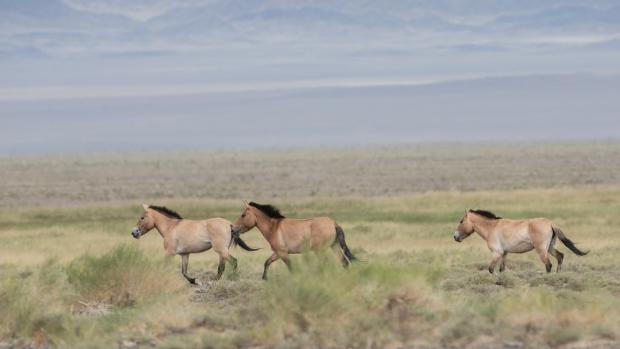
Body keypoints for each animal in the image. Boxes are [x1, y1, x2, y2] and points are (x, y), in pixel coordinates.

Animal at [130, 204, 258, 282]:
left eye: (142, 218)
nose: (134, 232)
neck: (171, 227)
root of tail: (230, 224)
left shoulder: (169, 253)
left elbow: (166, 267)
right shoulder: (185, 254)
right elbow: (184, 272)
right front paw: (194, 281)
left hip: (221, 250)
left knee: (233, 262)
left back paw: (233, 277)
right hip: (223, 251)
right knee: (222, 267)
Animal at [452, 208, 588, 274]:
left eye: (461, 221)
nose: (455, 236)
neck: (492, 228)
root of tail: (550, 223)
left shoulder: (496, 253)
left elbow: (491, 269)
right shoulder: (504, 253)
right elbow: (502, 269)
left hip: (542, 250)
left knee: (548, 265)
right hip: (550, 247)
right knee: (560, 256)